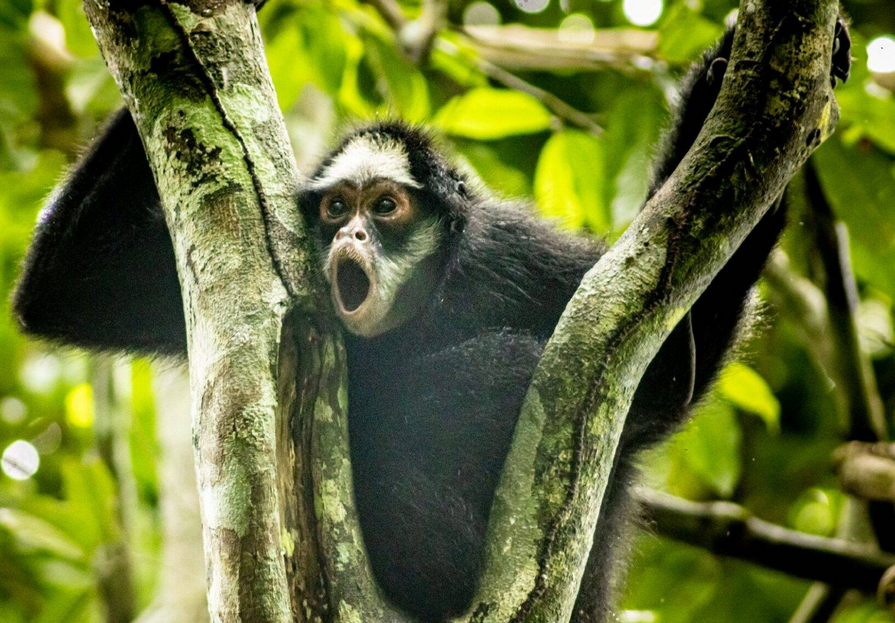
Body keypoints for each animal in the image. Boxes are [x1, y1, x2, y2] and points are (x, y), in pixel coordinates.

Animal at [12, 20, 852, 623]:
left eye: (385, 207)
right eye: (335, 208)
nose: (350, 236)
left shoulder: (508, 253)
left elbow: (668, 374)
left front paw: (726, 83)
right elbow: (64, 290)